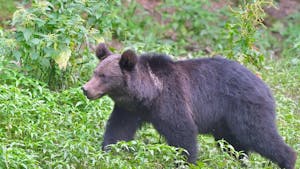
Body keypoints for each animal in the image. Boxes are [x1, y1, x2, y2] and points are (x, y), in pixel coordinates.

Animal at [81, 43, 296, 168]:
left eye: (104, 76)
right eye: (95, 72)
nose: (85, 89)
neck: (148, 94)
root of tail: (265, 86)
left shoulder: (171, 101)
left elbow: (182, 134)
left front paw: (185, 162)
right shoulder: (129, 109)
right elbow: (118, 131)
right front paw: (108, 153)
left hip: (244, 107)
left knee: (260, 135)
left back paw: (288, 160)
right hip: (225, 122)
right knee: (234, 146)